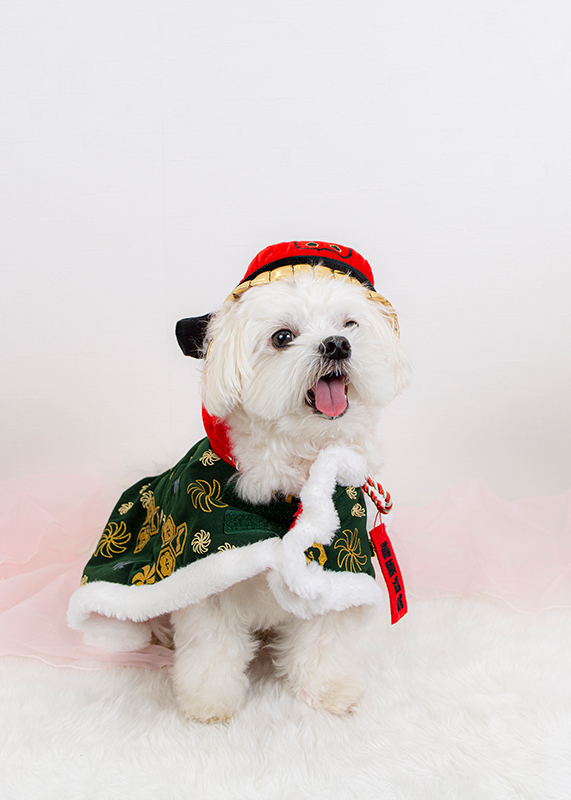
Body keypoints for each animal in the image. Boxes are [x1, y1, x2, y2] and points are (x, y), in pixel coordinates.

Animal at [68, 241, 410, 723]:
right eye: (282, 337)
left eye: (350, 324)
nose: (337, 345)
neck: (293, 470)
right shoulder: (205, 568)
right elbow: (211, 647)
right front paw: (208, 703)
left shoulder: (339, 560)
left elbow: (324, 638)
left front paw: (329, 691)